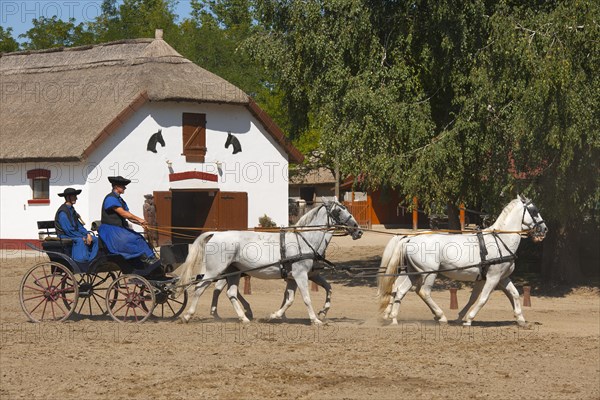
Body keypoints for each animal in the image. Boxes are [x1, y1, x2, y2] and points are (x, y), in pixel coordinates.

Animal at [177, 200, 360, 324]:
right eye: (339, 211)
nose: (358, 230)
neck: (305, 240)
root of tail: (216, 234)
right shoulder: (300, 275)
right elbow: (306, 298)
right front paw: (315, 319)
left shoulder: (300, 276)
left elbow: (298, 297)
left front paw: (277, 315)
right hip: (214, 271)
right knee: (200, 288)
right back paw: (187, 315)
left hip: (232, 272)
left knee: (230, 293)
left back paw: (243, 318)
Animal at [380, 195, 548, 326]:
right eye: (534, 211)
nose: (544, 229)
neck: (500, 241)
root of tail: (410, 238)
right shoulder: (493, 278)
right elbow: (483, 298)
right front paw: (469, 319)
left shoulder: (499, 277)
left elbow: (512, 294)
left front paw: (520, 319)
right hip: (429, 273)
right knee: (423, 292)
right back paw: (441, 317)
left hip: (414, 273)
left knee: (400, 291)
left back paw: (394, 318)